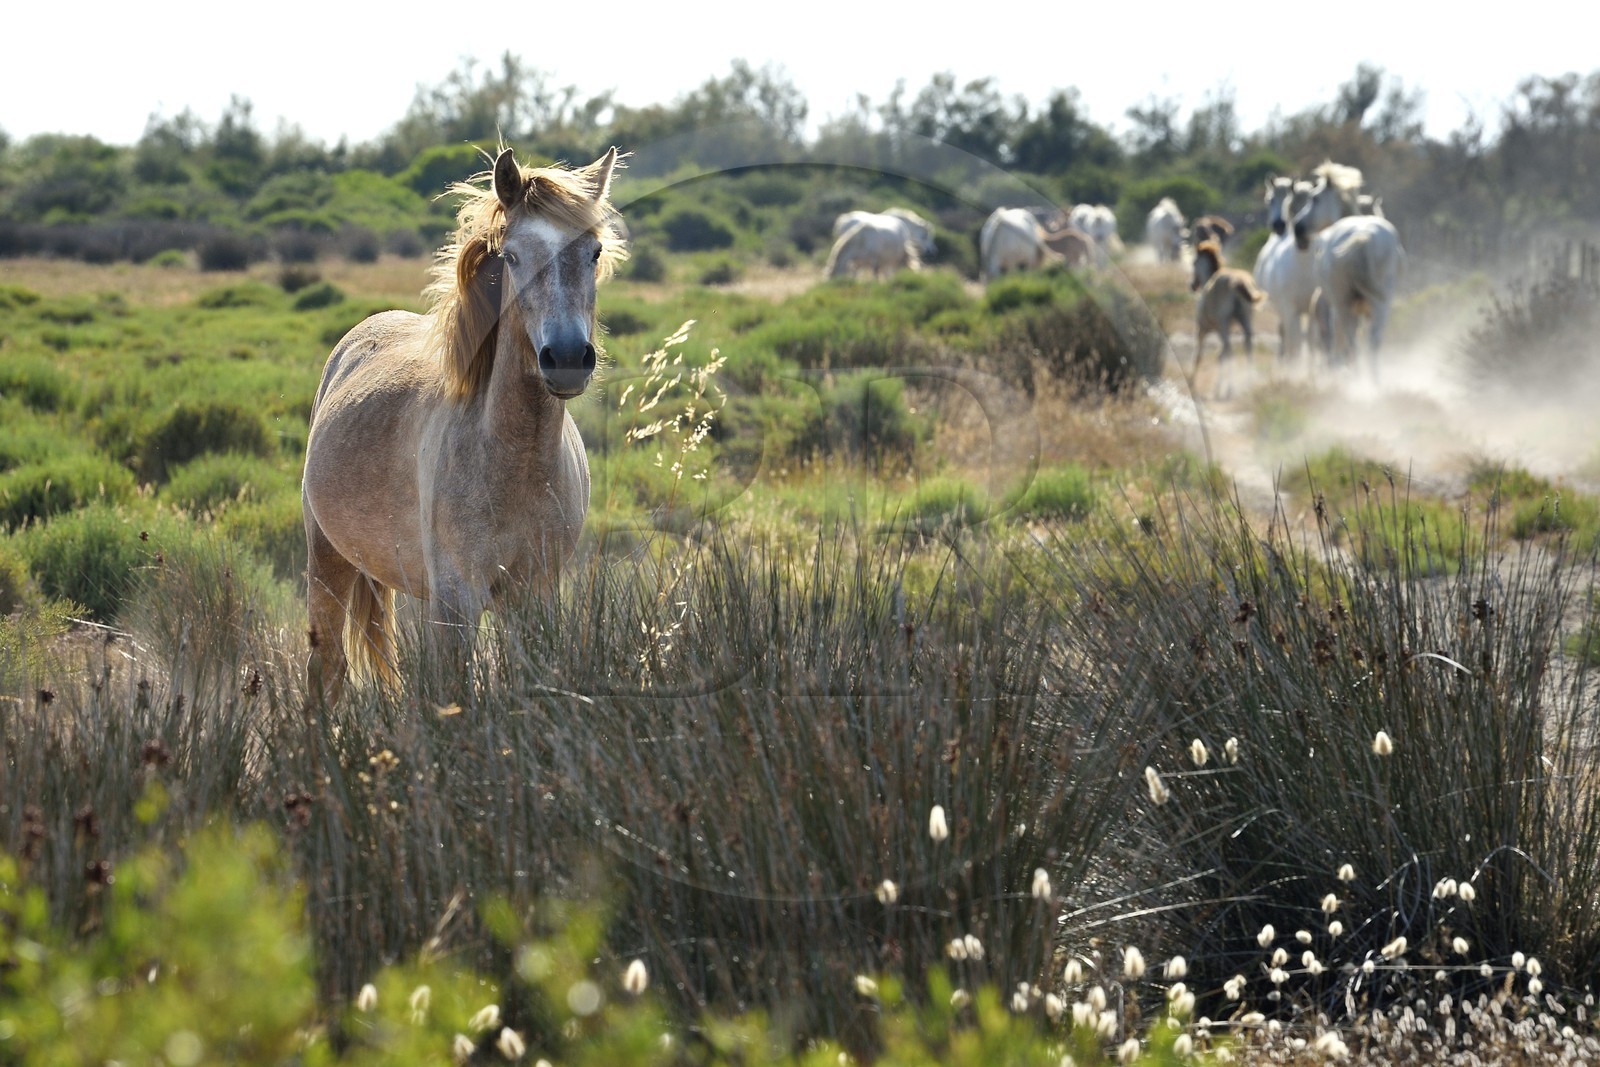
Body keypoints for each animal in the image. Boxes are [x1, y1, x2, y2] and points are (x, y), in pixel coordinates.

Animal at [301, 145, 626, 701]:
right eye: (512, 256)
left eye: (595, 252)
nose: (565, 358)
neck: (516, 460)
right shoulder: (456, 599)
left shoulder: (535, 593)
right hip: (327, 561)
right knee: (327, 672)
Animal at [1190, 239, 1266, 398]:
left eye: (1194, 262)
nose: (1192, 285)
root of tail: (1237, 281)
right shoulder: (1226, 329)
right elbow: (1220, 356)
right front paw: (1217, 387)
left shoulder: (1202, 329)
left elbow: (1200, 355)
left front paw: (1192, 383)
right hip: (1245, 321)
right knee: (1247, 345)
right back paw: (1249, 382)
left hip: (1223, 324)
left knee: (1230, 350)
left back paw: (1230, 388)